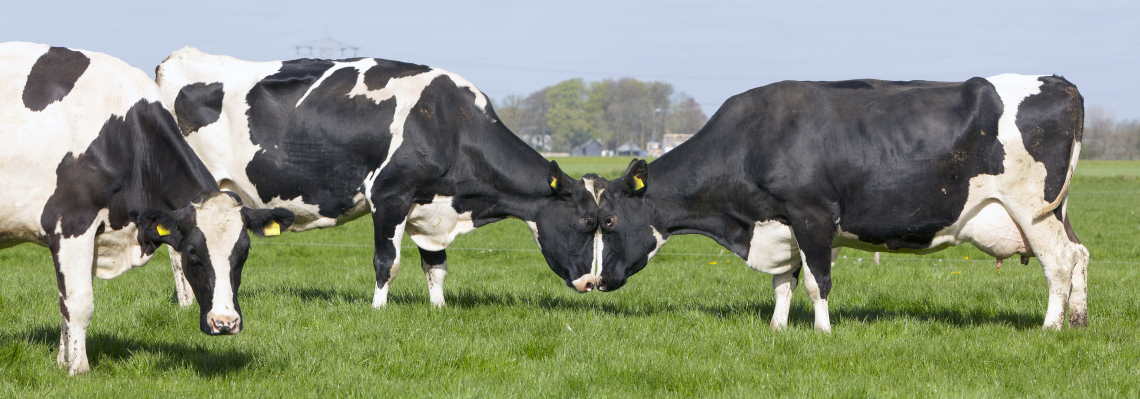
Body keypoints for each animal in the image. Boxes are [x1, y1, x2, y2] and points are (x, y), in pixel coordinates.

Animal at [1, 42, 294, 373]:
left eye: (243, 253)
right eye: (193, 253)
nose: (225, 322)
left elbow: (65, 302)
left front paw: (63, 362)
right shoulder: (72, 225)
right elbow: (79, 302)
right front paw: (78, 369)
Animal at [156, 48, 601, 307]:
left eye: (604, 224)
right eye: (585, 222)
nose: (593, 282)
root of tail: (176, 58)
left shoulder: (430, 206)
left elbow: (436, 265)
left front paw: (438, 309)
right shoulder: (390, 197)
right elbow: (387, 261)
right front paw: (378, 309)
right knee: (179, 250)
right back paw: (188, 304)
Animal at [597, 74, 1085, 330]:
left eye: (609, 220)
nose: (592, 282)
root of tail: (1058, 83)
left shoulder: (811, 216)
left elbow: (818, 282)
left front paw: (822, 330)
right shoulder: (782, 223)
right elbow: (783, 282)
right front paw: (777, 328)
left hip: (1033, 209)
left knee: (1059, 260)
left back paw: (1050, 326)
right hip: (1055, 210)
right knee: (1079, 253)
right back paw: (1077, 320)